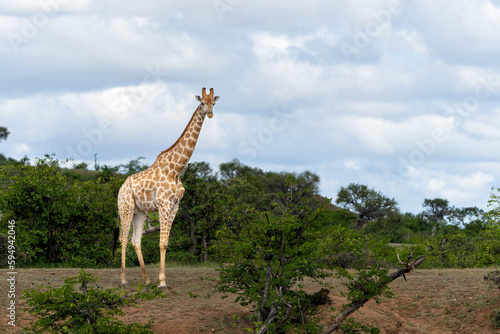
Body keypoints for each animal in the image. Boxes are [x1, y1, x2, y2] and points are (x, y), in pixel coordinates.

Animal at [118, 88, 220, 288]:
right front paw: (162, 282)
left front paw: (160, 279)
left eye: (214, 102)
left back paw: (146, 280)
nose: (211, 113)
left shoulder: (175, 206)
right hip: (126, 208)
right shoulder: (164, 204)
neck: (176, 169)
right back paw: (124, 280)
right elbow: (161, 243)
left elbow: (165, 243)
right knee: (124, 239)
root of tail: (120, 189)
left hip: (140, 212)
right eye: (202, 102)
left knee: (136, 241)